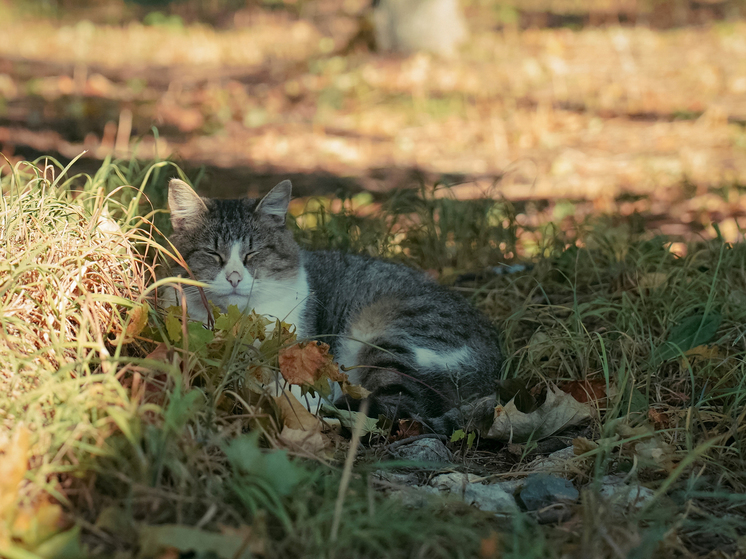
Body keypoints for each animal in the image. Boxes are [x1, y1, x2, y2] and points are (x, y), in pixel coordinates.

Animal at [163, 177, 500, 436]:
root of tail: (493, 368)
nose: (234, 277)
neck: (239, 321)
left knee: (399, 406)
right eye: (212, 254)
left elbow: (291, 388)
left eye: (252, 254)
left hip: (392, 337)